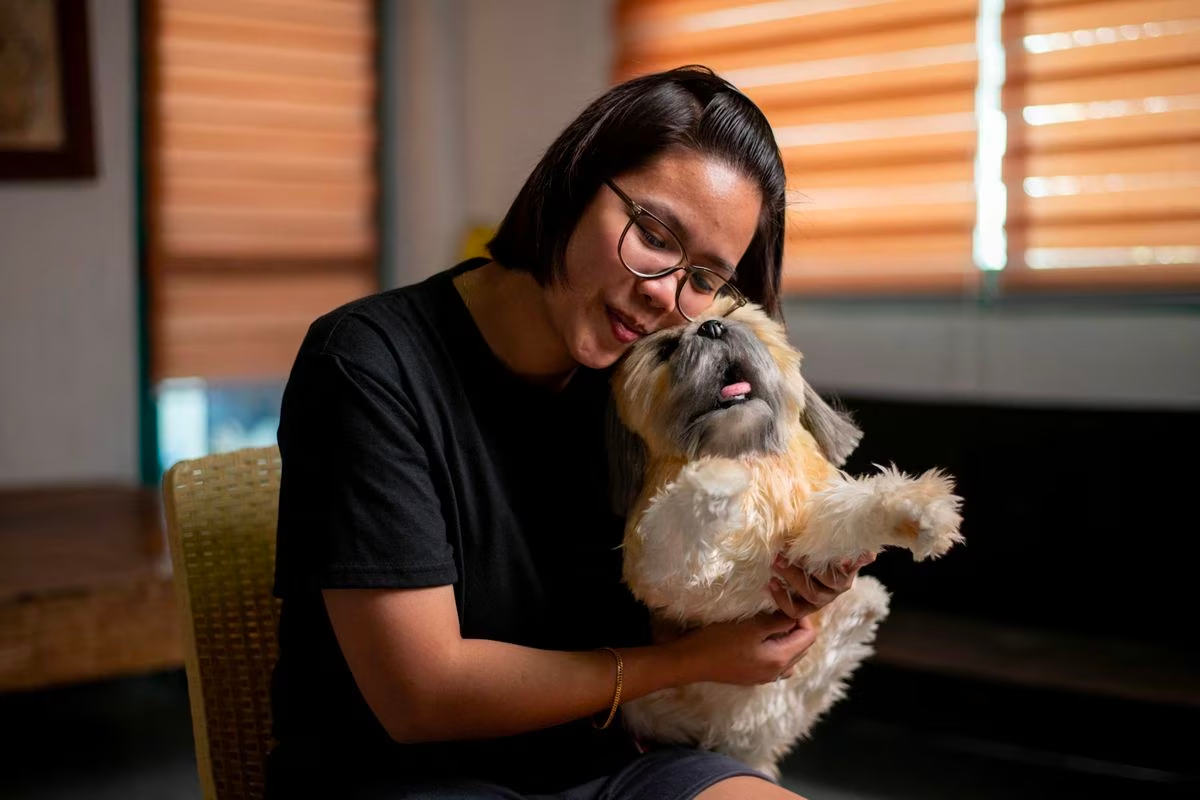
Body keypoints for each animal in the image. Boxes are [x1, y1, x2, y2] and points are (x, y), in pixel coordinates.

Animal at [609, 303, 964, 777]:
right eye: (666, 349)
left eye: (734, 317)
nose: (711, 327)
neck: (746, 451)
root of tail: (738, 740)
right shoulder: (672, 573)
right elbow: (676, 529)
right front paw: (715, 479)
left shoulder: (798, 542)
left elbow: (844, 516)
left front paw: (919, 511)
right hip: (655, 705)